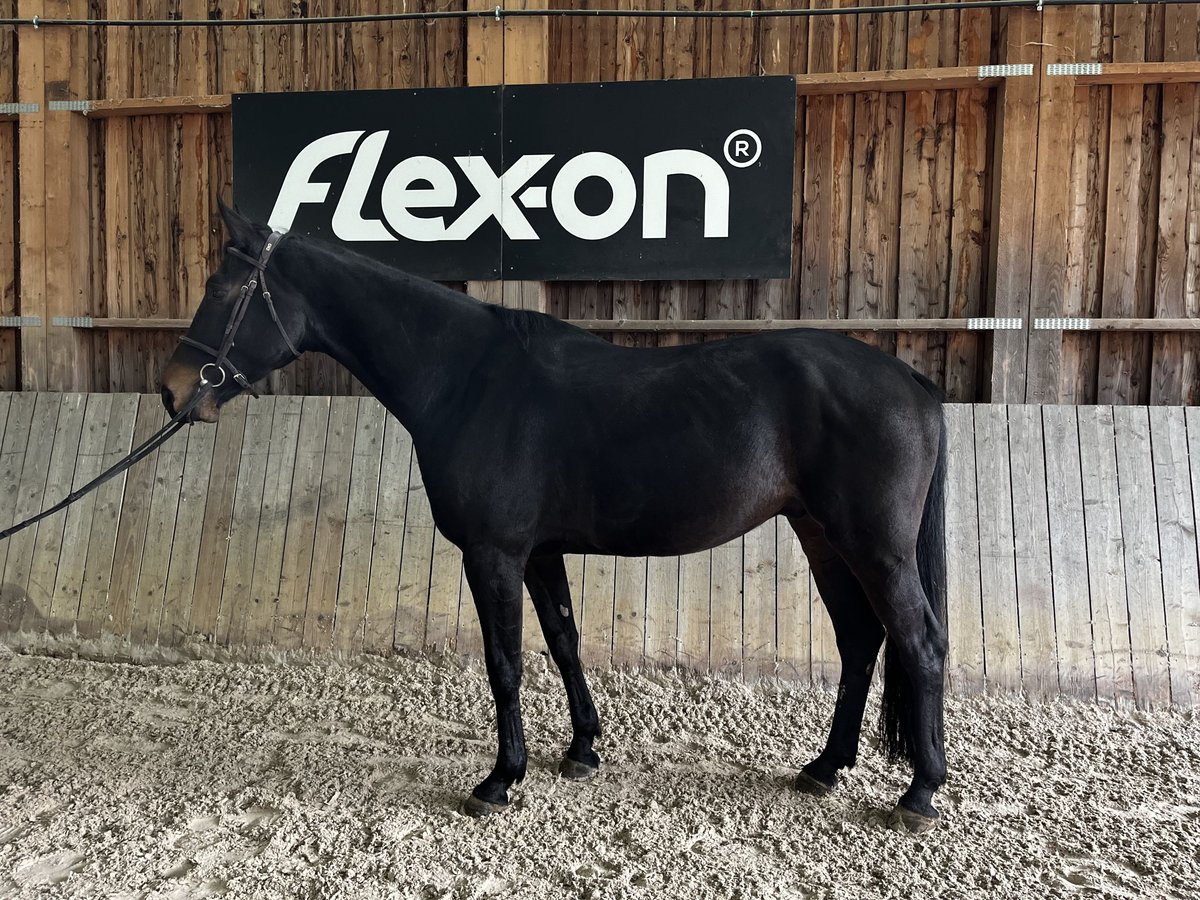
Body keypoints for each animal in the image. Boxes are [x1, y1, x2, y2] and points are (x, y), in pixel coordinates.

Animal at [162, 200, 945, 835]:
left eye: (221, 289)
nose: (173, 389)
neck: (467, 379)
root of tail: (908, 379)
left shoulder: (493, 553)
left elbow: (504, 662)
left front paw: (499, 780)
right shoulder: (538, 552)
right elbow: (564, 642)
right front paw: (582, 750)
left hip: (873, 547)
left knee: (919, 642)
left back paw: (919, 794)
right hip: (822, 537)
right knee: (860, 640)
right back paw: (825, 766)